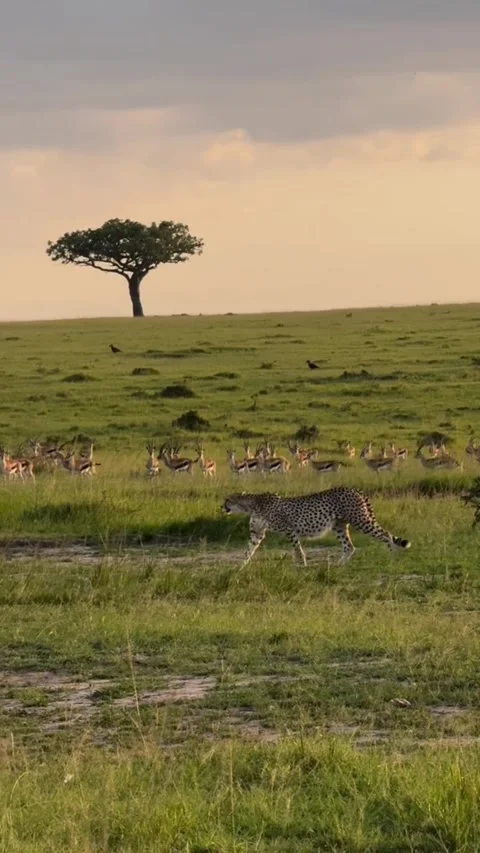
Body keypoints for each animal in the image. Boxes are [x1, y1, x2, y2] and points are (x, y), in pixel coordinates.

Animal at [222, 487, 411, 567]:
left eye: (227, 500)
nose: (221, 506)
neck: (252, 505)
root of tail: (354, 489)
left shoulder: (290, 529)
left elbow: (298, 550)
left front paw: (303, 565)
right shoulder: (257, 534)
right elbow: (249, 550)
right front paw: (241, 566)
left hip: (361, 521)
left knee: (386, 535)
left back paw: (393, 557)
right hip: (339, 526)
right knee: (349, 547)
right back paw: (338, 565)